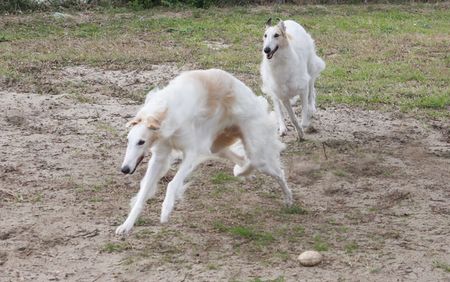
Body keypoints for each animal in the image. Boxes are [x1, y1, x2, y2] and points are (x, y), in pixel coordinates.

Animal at [116, 69, 292, 236]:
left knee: (279, 173)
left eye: (141, 142)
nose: (124, 169)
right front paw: (126, 225)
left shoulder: (192, 153)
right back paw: (243, 171)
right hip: (217, 147)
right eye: (128, 139)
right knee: (243, 161)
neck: (167, 110)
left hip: (257, 152)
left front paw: (166, 209)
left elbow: (172, 184)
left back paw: (289, 199)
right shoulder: (160, 156)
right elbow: (143, 192)